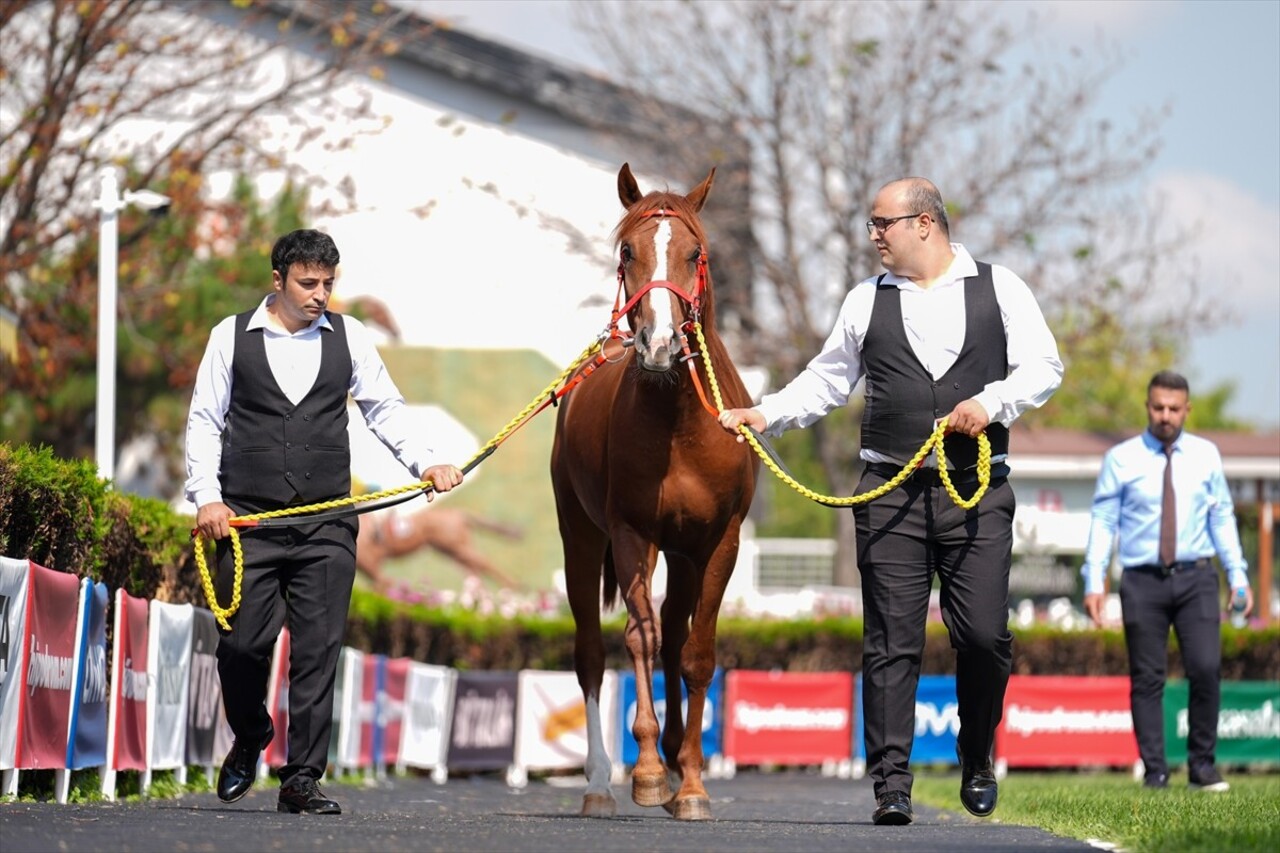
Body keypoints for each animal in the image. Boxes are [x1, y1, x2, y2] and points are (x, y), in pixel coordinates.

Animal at [550, 161, 757, 819]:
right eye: (626, 252)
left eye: (696, 254)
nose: (660, 344)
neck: (680, 422)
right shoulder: (630, 533)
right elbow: (640, 637)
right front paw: (645, 771)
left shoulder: (718, 543)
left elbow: (696, 653)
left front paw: (689, 783)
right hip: (581, 539)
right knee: (593, 653)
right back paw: (600, 782)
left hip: (683, 554)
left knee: (675, 636)